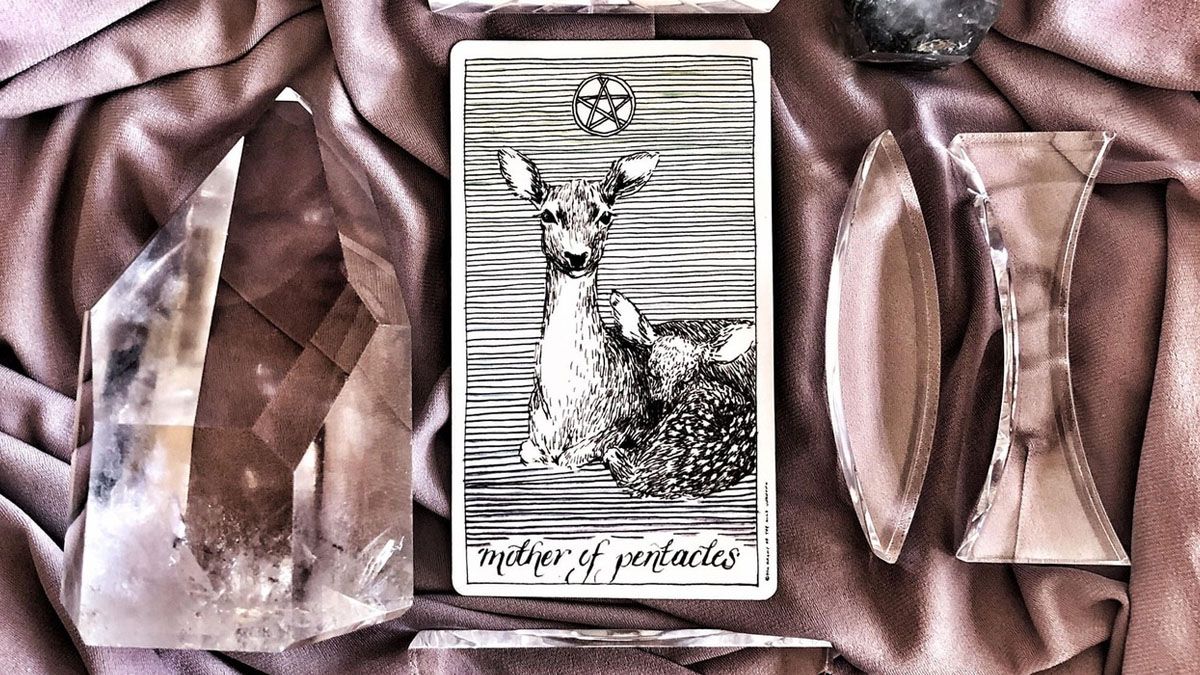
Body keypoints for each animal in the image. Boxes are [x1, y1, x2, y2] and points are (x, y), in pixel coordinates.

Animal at [497, 148, 661, 470]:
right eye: (547, 214)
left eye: (605, 215)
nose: (576, 256)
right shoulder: (533, 437)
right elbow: (530, 451)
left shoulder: (636, 420)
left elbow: (576, 454)